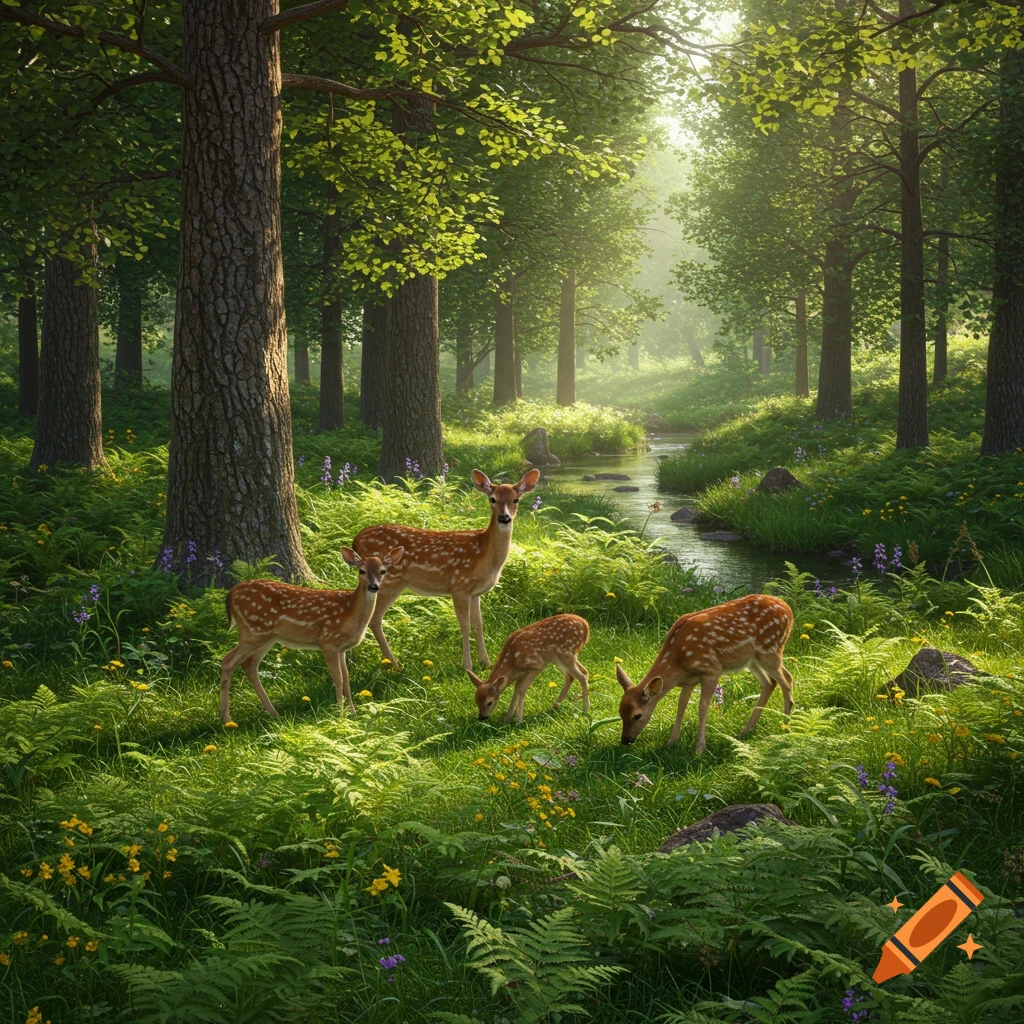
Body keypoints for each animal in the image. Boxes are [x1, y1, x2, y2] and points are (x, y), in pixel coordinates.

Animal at [219, 545, 404, 722]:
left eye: (383, 571)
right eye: (362, 571)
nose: (374, 587)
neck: (350, 611)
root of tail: (231, 594)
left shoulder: (342, 649)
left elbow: (347, 680)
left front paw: (353, 712)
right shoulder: (328, 642)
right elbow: (338, 679)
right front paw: (340, 714)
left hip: (266, 637)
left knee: (249, 665)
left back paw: (274, 714)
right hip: (252, 631)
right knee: (228, 660)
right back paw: (226, 718)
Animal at [352, 468, 541, 671]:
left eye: (516, 499)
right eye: (492, 498)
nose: (504, 518)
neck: (484, 554)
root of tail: (356, 540)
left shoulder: (475, 593)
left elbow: (479, 625)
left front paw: (486, 662)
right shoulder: (459, 587)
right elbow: (465, 626)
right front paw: (467, 665)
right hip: (389, 582)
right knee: (374, 618)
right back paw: (394, 663)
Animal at [617, 594, 794, 753]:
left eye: (637, 715)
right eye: (620, 712)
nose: (626, 740)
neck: (678, 660)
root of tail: (789, 610)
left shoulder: (712, 669)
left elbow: (703, 707)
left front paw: (699, 749)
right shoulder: (689, 680)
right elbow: (681, 705)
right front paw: (671, 743)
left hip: (770, 649)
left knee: (786, 680)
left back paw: (784, 728)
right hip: (752, 659)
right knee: (770, 682)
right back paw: (744, 731)